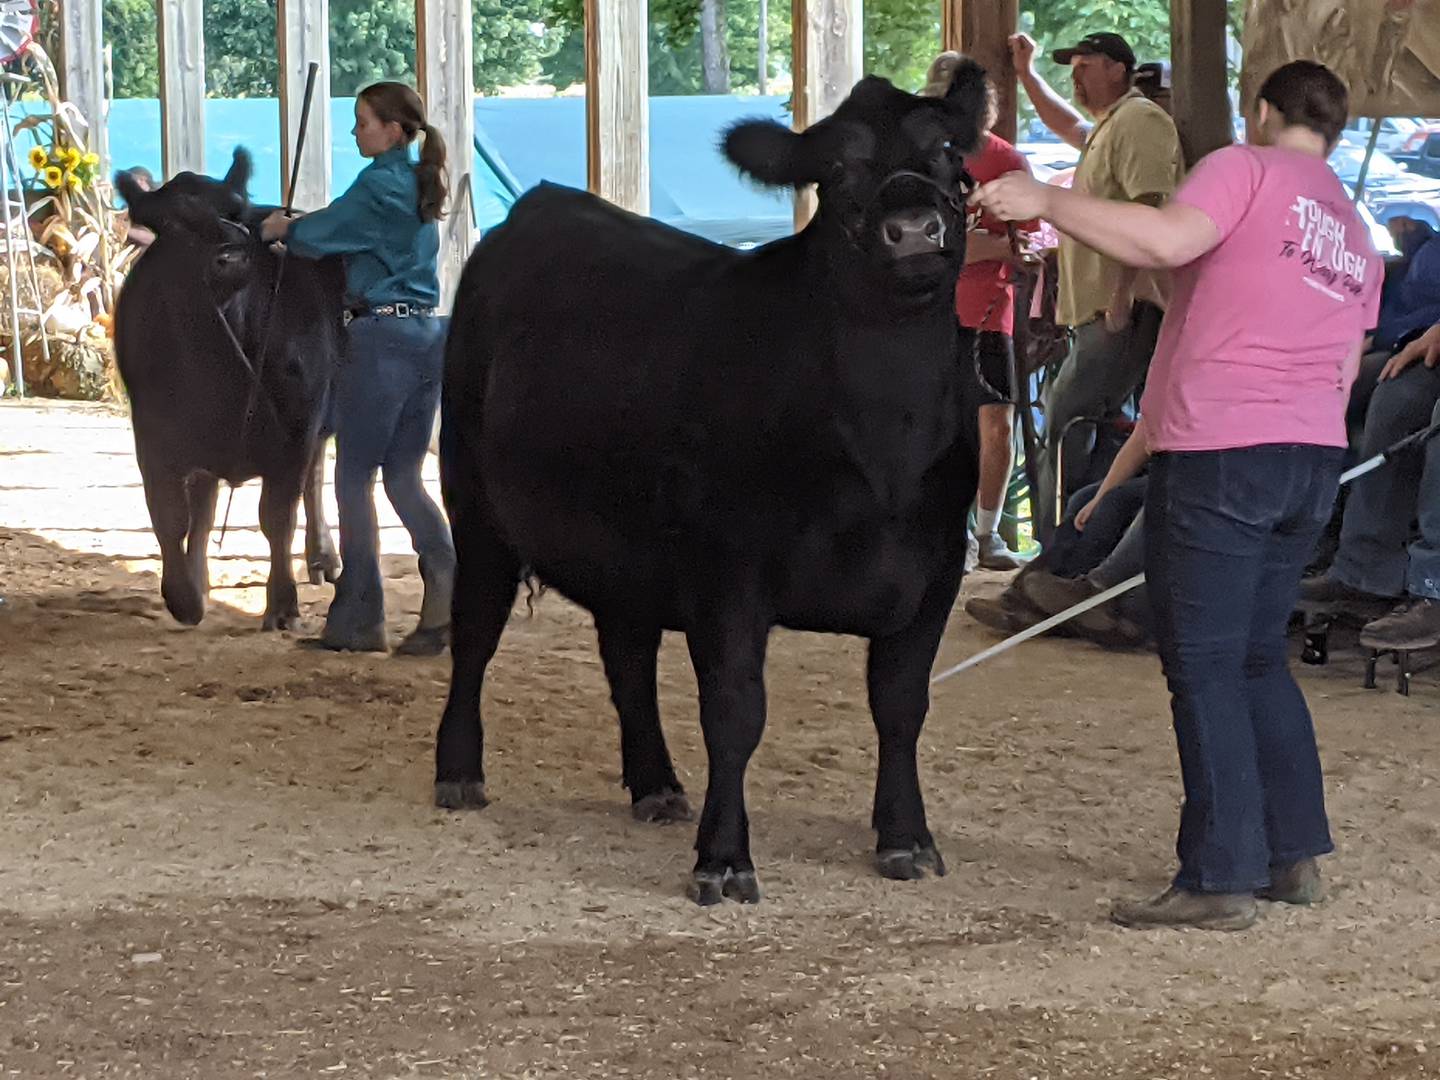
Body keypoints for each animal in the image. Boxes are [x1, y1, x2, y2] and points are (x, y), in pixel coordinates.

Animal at [115, 148, 345, 630]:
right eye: (169, 224)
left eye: (235, 211)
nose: (230, 253)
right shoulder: (152, 436)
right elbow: (170, 515)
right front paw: (184, 595)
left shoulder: (297, 426)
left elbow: (277, 517)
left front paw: (282, 605)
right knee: (205, 502)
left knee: (314, 474)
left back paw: (322, 556)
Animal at [434, 63, 990, 898]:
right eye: (836, 169)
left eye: (951, 154)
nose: (915, 228)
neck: (883, 444)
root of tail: (543, 204)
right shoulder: (729, 569)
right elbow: (735, 713)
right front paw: (724, 858)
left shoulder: (936, 569)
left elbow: (900, 706)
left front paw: (906, 838)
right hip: (475, 508)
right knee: (474, 633)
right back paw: (459, 773)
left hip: (623, 545)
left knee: (626, 656)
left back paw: (656, 783)